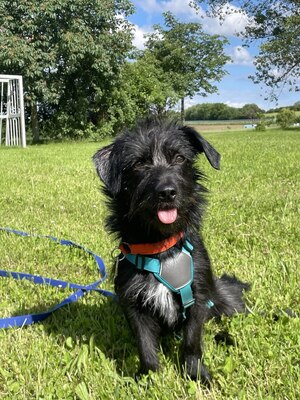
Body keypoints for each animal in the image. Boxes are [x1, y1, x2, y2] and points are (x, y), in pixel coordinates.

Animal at [93, 118, 248, 384]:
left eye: (179, 158)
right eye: (138, 164)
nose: (167, 192)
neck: (161, 248)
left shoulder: (198, 299)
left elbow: (192, 343)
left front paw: (195, 374)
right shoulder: (135, 304)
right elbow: (145, 346)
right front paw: (148, 377)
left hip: (225, 300)